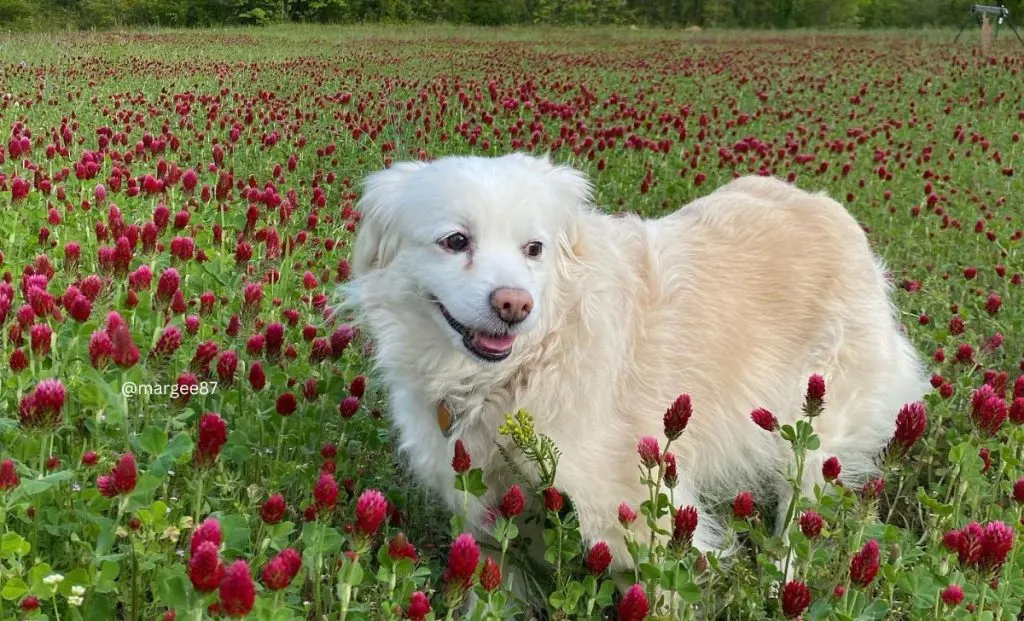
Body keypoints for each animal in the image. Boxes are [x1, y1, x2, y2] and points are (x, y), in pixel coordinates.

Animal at [342, 155, 929, 582]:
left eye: (534, 249)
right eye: (456, 241)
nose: (515, 305)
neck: (516, 373)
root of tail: (827, 207)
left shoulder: (630, 512)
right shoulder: (487, 512)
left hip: (816, 421)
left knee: (799, 515)